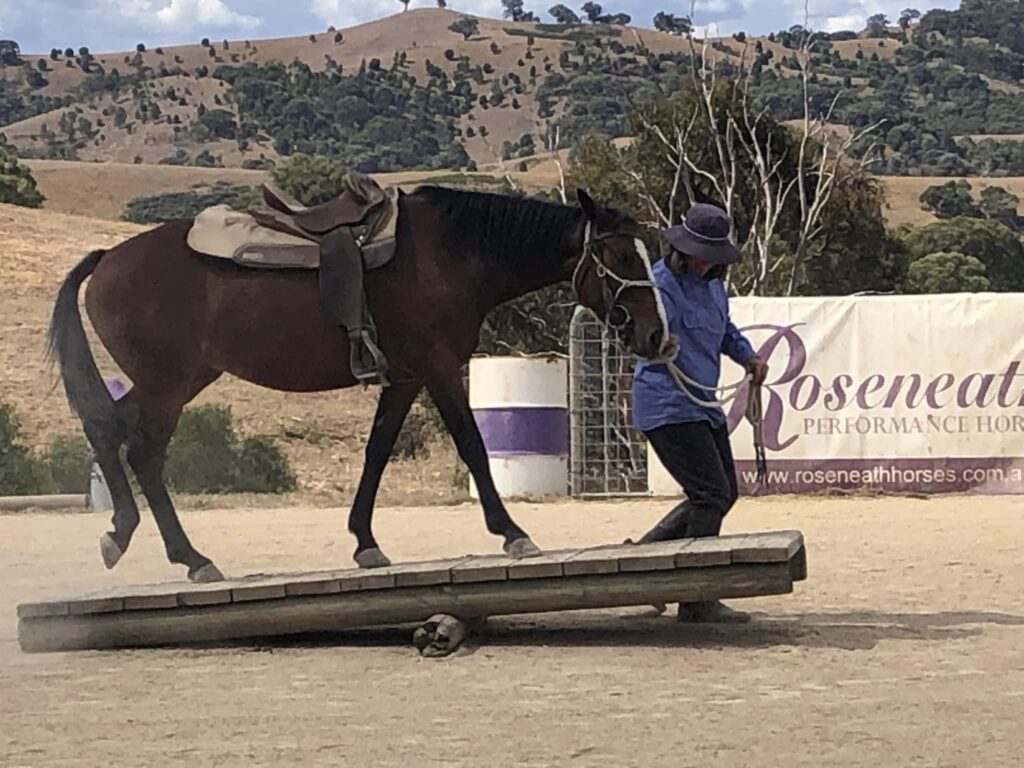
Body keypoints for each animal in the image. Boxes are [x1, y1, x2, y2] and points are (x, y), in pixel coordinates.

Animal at [49, 185, 671, 581]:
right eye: (620, 253)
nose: (656, 335)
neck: (452, 254)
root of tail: (107, 259)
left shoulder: (405, 378)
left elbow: (377, 452)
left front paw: (365, 543)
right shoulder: (439, 369)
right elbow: (473, 448)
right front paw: (511, 531)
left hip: (177, 379)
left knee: (111, 434)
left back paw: (129, 535)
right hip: (168, 383)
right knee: (139, 450)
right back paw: (188, 556)